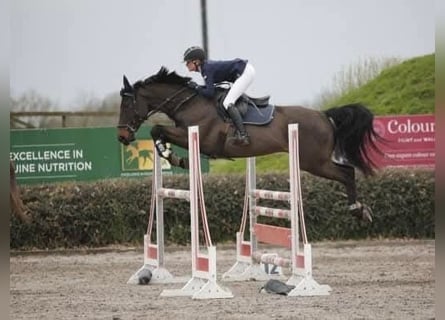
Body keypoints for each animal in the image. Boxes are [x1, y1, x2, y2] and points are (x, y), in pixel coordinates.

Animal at [116, 67, 380, 222]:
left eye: (127, 105)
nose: (122, 137)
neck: (189, 103)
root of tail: (324, 115)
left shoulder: (198, 137)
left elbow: (157, 129)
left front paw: (171, 155)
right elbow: (158, 131)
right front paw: (169, 153)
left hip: (314, 162)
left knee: (347, 173)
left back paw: (358, 209)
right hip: (316, 161)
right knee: (347, 172)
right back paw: (360, 210)